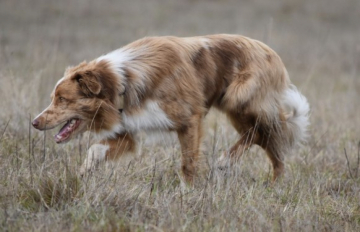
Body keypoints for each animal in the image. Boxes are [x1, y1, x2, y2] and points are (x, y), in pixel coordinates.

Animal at [31, 35, 310, 183]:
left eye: (62, 99)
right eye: (53, 98)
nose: (34, 122)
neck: (122, 82)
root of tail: (271, 52)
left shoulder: (190, 120)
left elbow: (188, 164)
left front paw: (189, 193)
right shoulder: (128, 132)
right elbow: (95, 150)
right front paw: (82, 174)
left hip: (239, 99)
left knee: (267, 136)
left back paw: (245, 170)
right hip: (239, 109)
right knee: (262, 138)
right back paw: (255, 175)